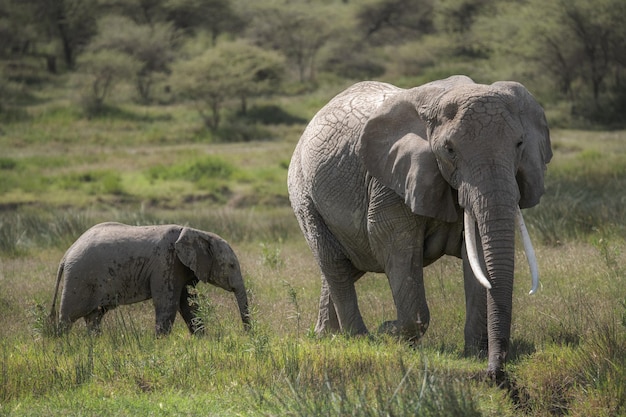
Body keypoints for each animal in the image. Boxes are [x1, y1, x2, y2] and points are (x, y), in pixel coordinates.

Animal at [49, 221, 249, 334]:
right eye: (231, 266)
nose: (247, 334)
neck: (197, 232)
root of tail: (66, 255)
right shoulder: (166, 263)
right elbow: (168, 303)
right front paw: (162, 344)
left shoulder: (179, 266)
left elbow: (188, 304)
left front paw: (202, 339)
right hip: (78, 278)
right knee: (69, 317)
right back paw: (65, 345)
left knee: (94, 317)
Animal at [288, 75, 552, 376]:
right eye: (449, 150)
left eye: (520, 144)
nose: (494, 373)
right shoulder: (390, 184)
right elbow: (396, 246)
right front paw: (390, 333)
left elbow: (477, 256)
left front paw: (474, 354)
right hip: (303, 194)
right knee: (334, 264)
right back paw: (360, 339)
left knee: (343, 267)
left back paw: (326, 337)